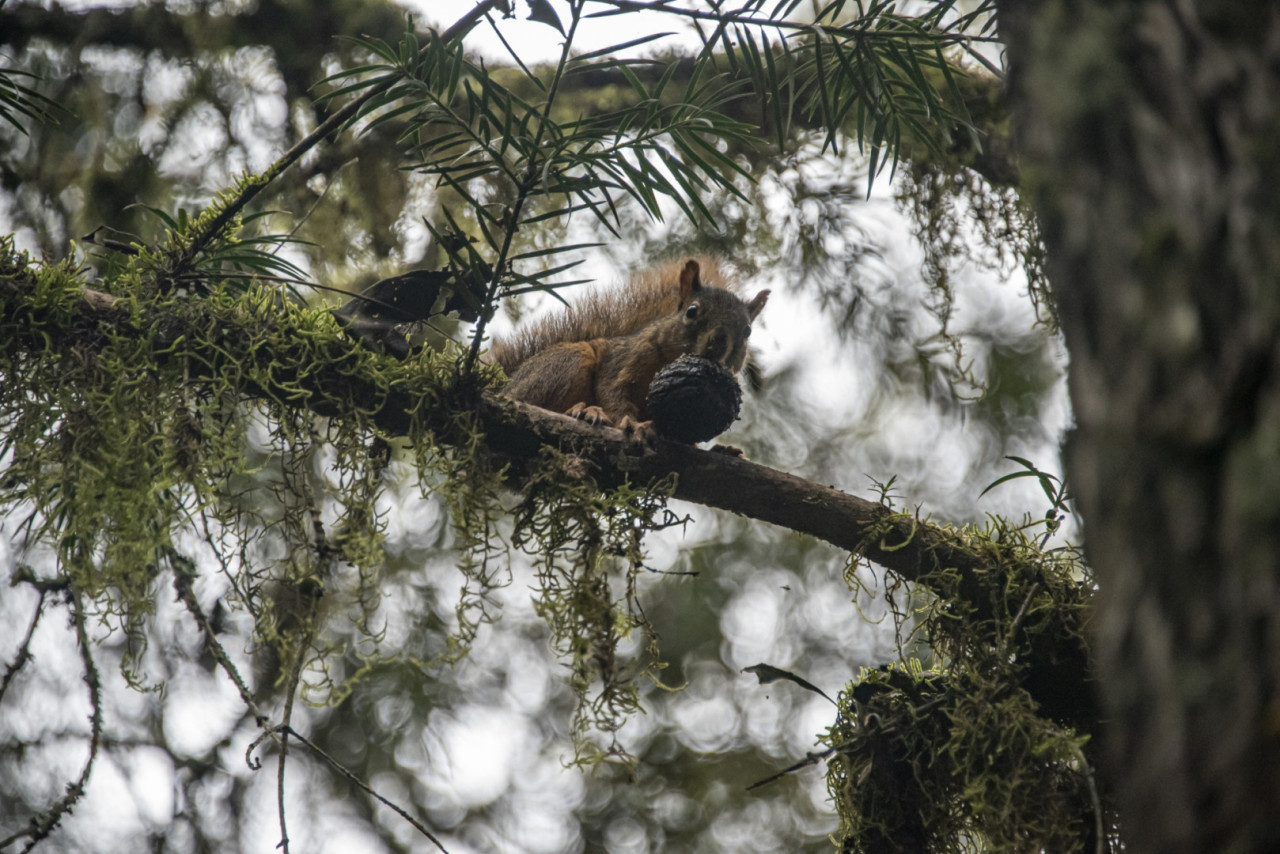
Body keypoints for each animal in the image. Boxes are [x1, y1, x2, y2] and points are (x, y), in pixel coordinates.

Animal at [488, 257, 768, 437]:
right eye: (691, 311)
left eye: (747, 331)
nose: (717, 344)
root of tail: (507, 385)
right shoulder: (625, 359)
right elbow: (612, 390)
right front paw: (631, 423)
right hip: (565, 363)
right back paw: (582, 410)